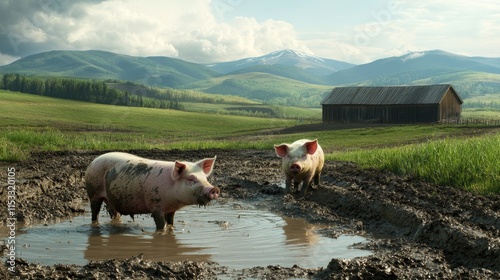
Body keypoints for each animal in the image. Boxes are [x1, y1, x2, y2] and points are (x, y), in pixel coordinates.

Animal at [85, 153, 220, 230]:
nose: (214, 189)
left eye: (205, 178)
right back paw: (95, 224)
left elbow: (171, 223)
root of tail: (94, 161)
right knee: (95, 212)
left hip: (111, 198)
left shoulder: (171, 210)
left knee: (113, 212)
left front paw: (171, 228)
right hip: (93, 192)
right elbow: (161, 225)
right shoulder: (156, 206)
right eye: (191, 179)